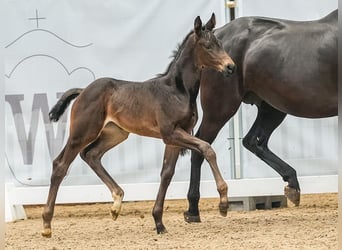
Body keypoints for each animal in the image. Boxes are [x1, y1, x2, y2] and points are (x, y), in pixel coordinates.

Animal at [41, 13, 236, 236]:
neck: (177, 90)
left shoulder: (176, 137)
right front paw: (223, 203)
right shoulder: (170, 133)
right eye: (207, 46)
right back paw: (46, 224)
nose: (230, 67)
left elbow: (167, 173)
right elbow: (207, 148)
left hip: (115, 134)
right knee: (60, 165)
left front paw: (159, 223)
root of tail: (82, 91)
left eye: (220, 44)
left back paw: (116, 204)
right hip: (82, 133)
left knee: (91, 155)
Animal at [184, 9, 336, 223]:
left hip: (272, 107)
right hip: (220, 110)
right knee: (201, 147)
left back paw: (292, 186)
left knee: (253, 140)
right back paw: (193, 210)